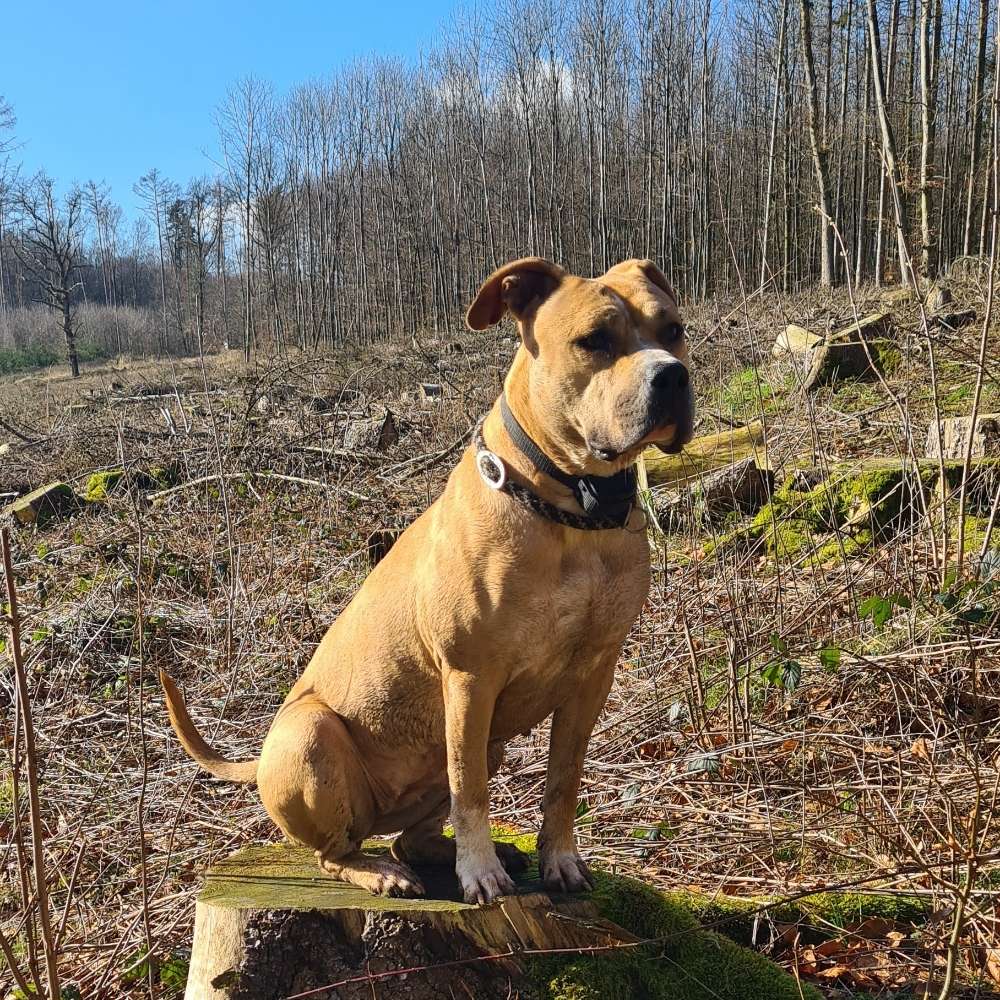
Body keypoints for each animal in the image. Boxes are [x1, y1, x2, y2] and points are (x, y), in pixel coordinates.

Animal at [164, 258, 696, 908]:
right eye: (594, 340)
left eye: (672, 330)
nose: (671, 376)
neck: (571, 511)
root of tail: (259, 760)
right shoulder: (470, 679)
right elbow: (471, 791)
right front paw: (480, 873)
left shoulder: (592, 676)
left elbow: (563, 780)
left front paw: (559, 860)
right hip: (310, 734)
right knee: (334, 851)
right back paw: (381, 872)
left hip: (480, 743)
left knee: (409, 837)